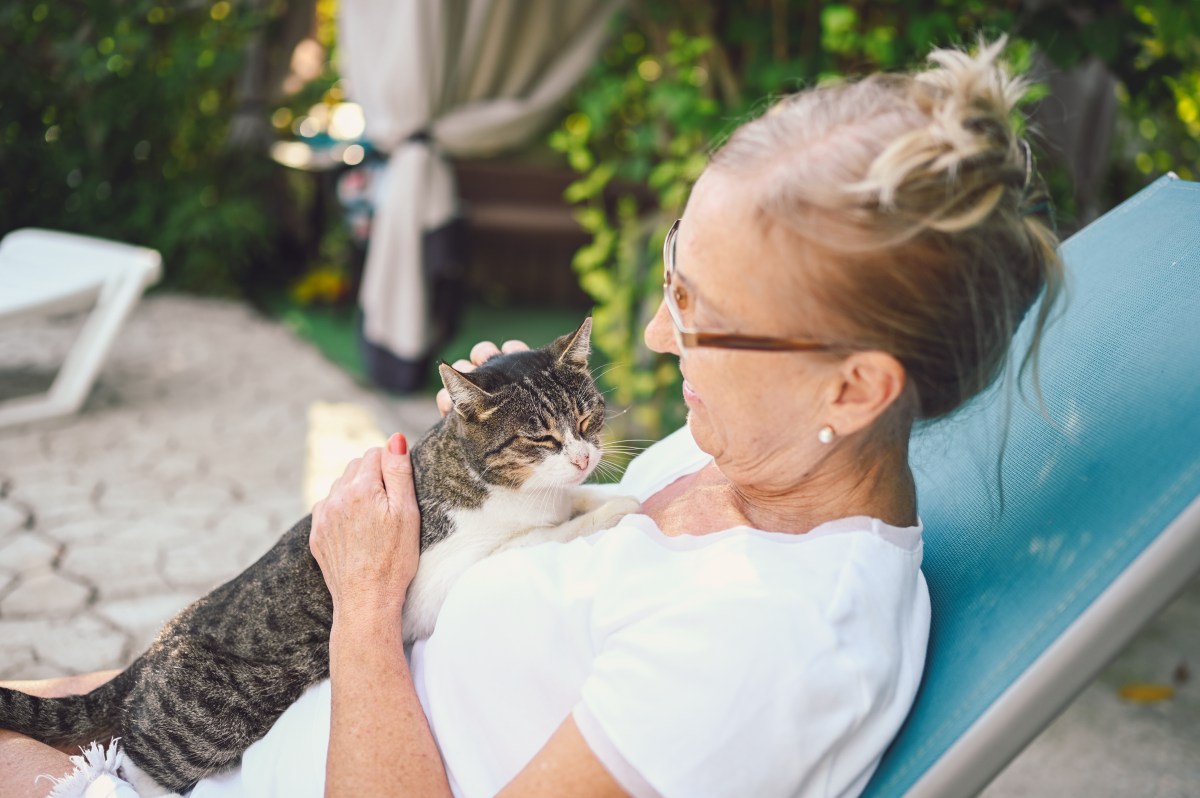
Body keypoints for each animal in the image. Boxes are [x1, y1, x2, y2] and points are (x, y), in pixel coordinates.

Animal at [0, 316, 638, 792]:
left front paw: (606, 495)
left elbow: (570, 507)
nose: (584, 456)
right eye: (541, 438)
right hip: (203, 727)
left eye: (588, 418)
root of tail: (155, 647)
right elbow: (532, 538)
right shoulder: (439, 575)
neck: (516, 491)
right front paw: (616, 510)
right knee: (134, 758)